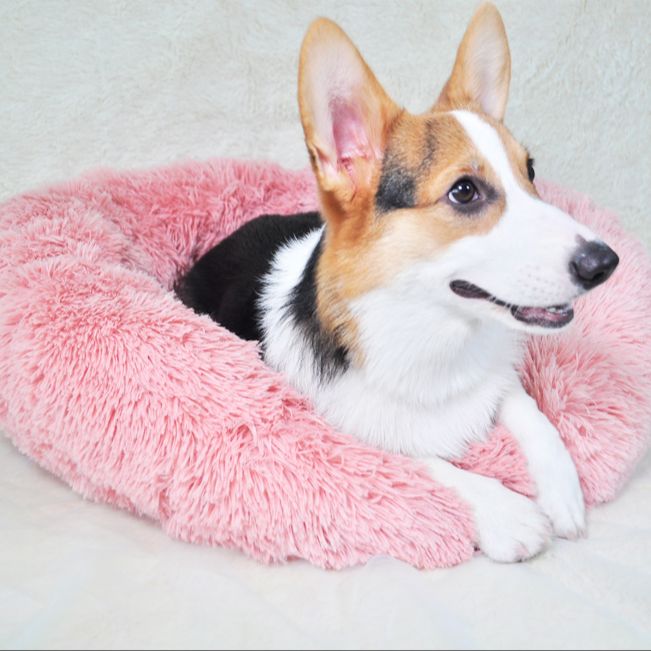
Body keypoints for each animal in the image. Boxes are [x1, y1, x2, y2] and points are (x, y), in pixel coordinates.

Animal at [177, 2, 620, 564]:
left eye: (532, 171)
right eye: (464, 192)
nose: (605, 262)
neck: (432, 334)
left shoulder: (495, 376)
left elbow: (529, 408)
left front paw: (563, 489)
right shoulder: (345, 435)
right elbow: (421, 459)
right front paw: (506, 511)